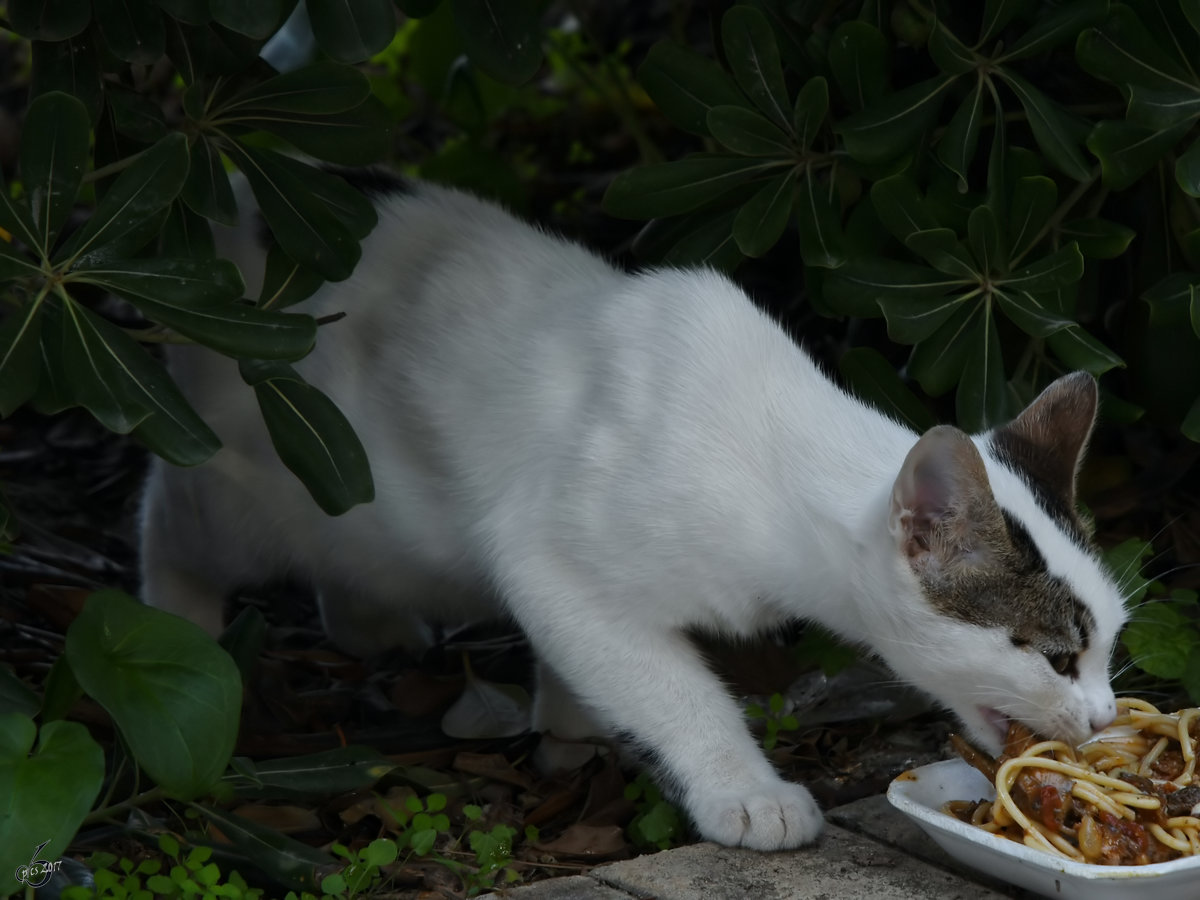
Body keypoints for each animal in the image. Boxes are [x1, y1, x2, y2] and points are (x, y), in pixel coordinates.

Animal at [140, 174, 1123, 854]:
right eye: (1055, 656)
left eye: (1109, 647)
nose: (1107, 717)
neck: (770, 458)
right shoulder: (545, 558)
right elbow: (674, 687)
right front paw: (746, 791)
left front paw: (571, 716)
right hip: (273, 489)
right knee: (168, 511)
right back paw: (174, 628)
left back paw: (370, 622)